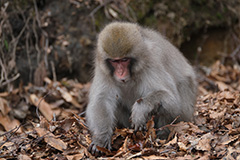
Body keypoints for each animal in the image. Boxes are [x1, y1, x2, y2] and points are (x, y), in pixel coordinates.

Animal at [85, 21, 198, 155]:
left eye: (124, 60)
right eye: (114, 61)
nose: (120, 73)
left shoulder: (151, 61)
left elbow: (173, 101)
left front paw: (141, 108)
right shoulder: (103, 69)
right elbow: (101, 100)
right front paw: (101, 138)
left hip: (187, 110)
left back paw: (162, 134)